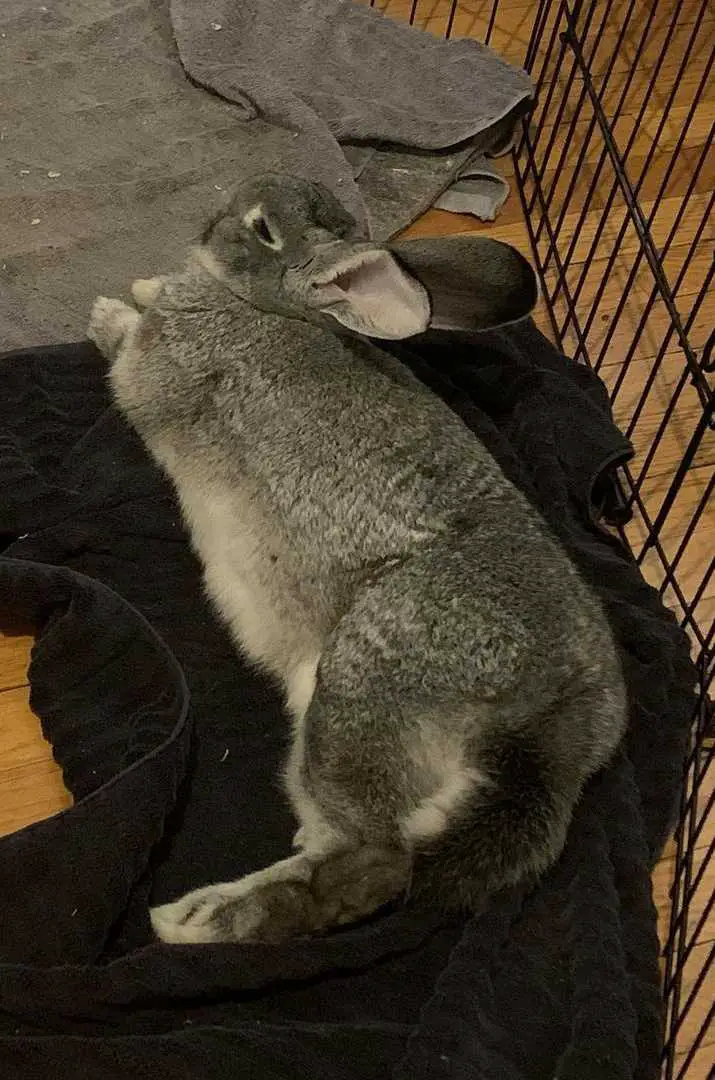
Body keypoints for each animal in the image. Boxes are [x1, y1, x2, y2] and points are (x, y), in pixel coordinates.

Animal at [88, 172, 626, 941]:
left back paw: (202, 918)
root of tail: (549, 732)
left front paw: (108, 308)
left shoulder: (163, 368)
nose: (210, 222)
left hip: (357, 688)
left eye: (262, 227)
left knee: (373, 865)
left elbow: (130, 354)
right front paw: (143, 283)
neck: (272, 305)